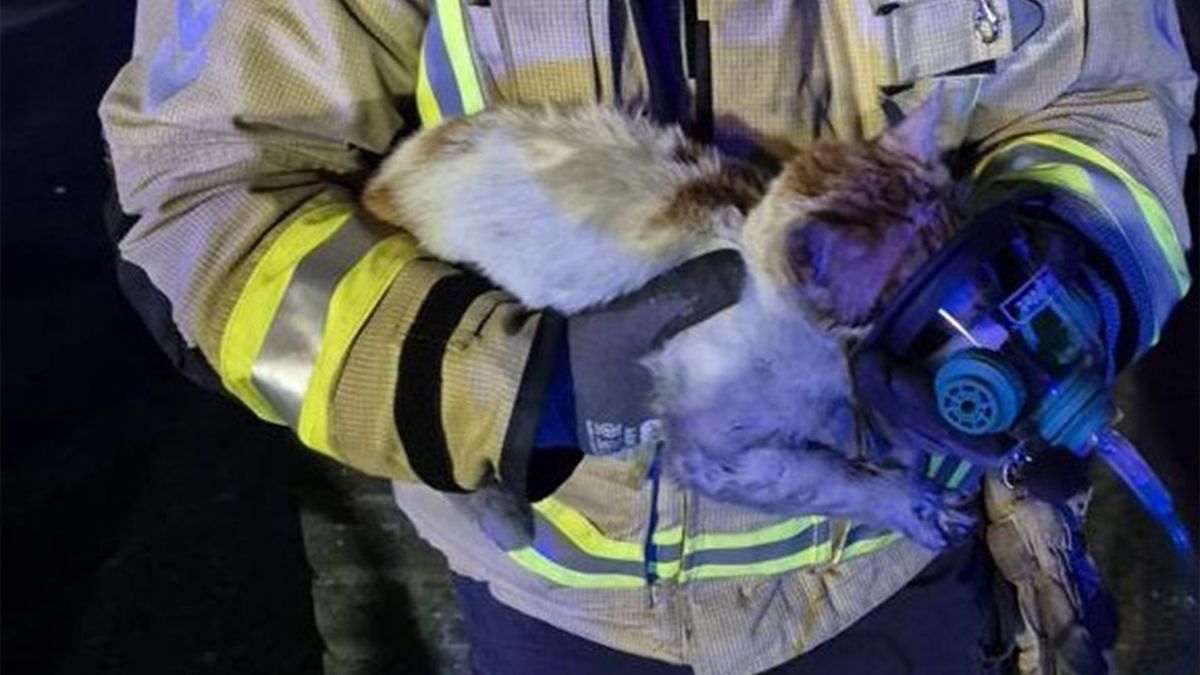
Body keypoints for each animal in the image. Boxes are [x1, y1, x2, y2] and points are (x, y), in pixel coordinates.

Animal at [360, 97, 979, 547]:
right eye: (923, 294)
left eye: (966, 239)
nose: (989, 312)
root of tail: (388, 177)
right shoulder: (713, 454)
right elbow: (828, 481)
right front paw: (906, 501)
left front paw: (895, 456)